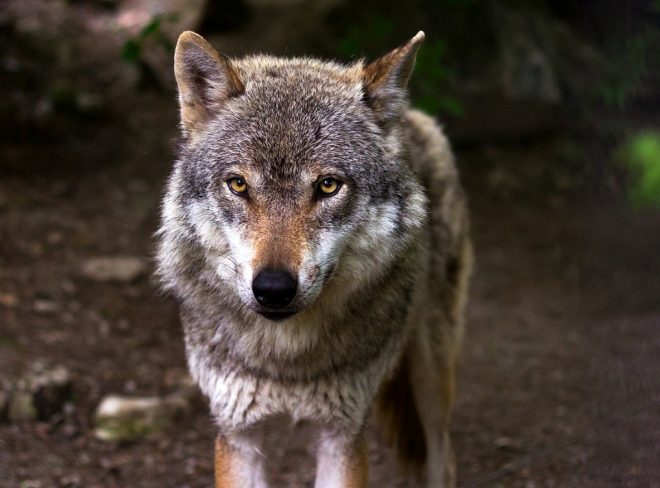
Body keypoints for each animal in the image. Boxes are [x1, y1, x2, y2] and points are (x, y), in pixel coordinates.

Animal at [156, 29, 472, 488]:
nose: (273, 289)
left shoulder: (342, 434)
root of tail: (411, 116)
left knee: (443, 457)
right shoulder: (238, 434)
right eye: (238, 184)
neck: (287, 360)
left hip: (432, 378)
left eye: (327, 186)